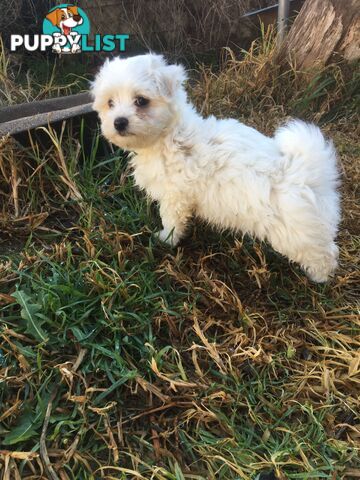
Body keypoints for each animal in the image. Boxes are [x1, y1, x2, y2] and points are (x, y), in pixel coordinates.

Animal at [92, 54, 340, 284]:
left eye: (141, 101)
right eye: (110, 103)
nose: (119, 122)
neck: (171, 136)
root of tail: (308, 170)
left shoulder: (175, 197)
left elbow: (171, 220)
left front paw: (166, 239)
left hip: (295, 232)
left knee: (323, 253)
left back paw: (319, 277)